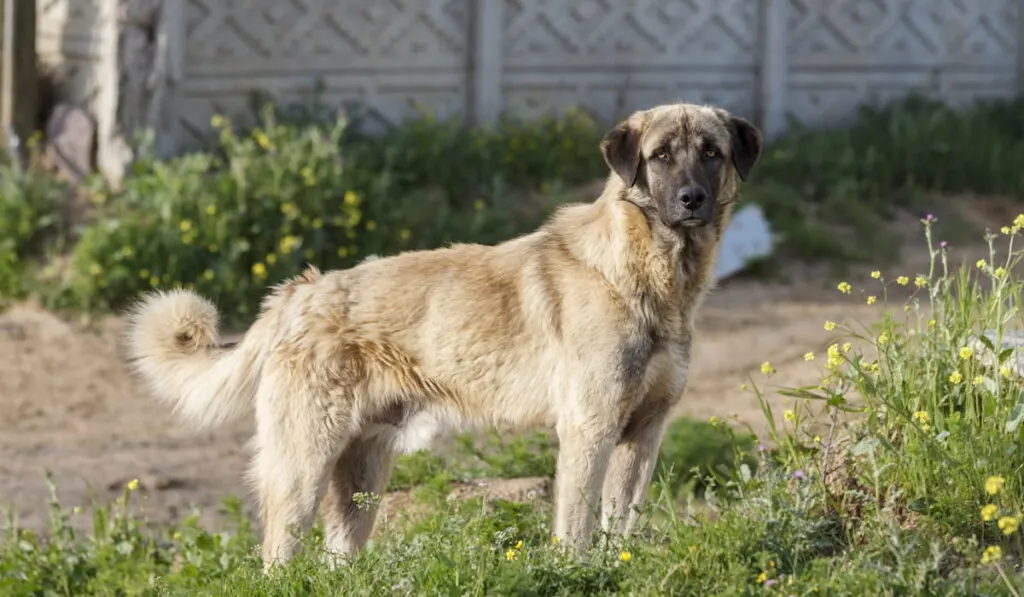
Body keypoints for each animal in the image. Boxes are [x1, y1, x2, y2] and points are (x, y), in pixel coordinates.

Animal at [121, 101, 761, 569]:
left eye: (711, 153)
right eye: (660, 156)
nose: (692, 200)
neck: (646, 274)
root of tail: (299, 292)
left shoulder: (643, 434)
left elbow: (620, 523)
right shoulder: (590, 429)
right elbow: (577, 527)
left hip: (362, 476)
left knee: (337, 559)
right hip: (302, 463)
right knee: (278, 554)